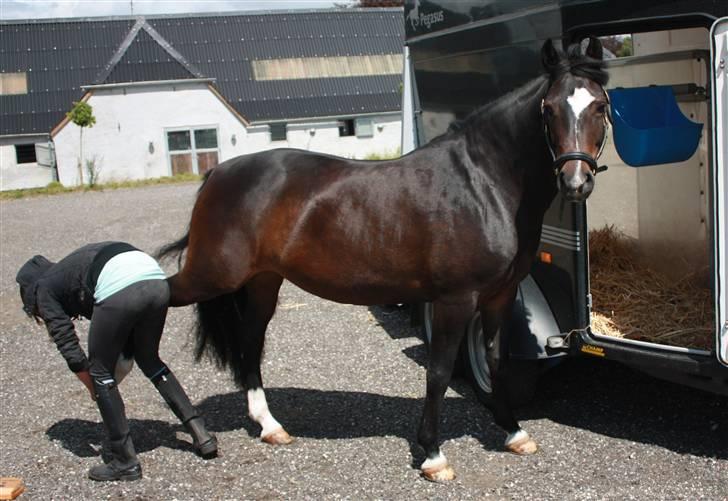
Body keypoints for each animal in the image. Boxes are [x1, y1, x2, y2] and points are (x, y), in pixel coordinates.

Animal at [158, 38, 610, 482]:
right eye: (549, 109)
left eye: (600, 106)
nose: (575, 182)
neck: (484, 184)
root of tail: (218, 174)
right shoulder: (455, 299)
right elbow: (438, 372)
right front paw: (432, 455)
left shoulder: (500, 295)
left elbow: (497, 361)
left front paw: (514, 432)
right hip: (212, 275)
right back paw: (187, 435)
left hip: (262, 281)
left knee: (251, 340)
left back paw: (270, 426)